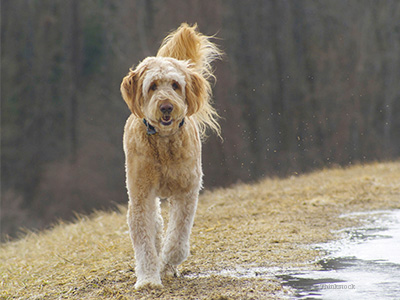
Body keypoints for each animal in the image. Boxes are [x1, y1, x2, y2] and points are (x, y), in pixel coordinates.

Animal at [120, 22, 223, 290]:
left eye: (175, 85)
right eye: (153, 86)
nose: (166, 106)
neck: (164, 143)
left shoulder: (186, 192)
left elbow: (177, 238)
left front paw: (167, 262)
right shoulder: (141, 195)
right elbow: (144, 241)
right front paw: (148, 278)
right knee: (155, 226)